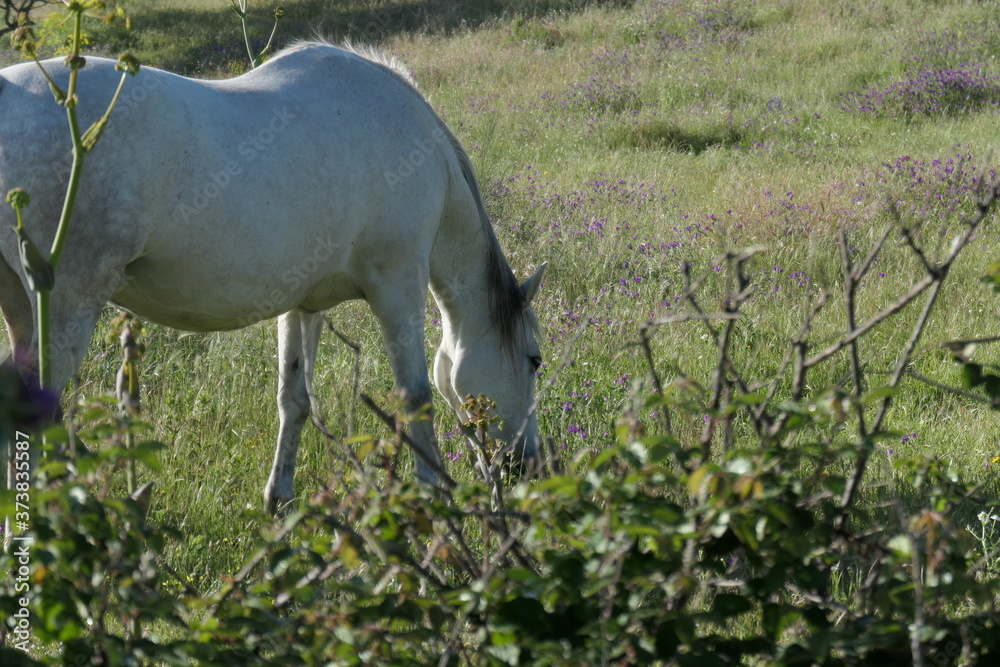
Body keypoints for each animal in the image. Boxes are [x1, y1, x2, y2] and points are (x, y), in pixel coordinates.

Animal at [0, 40, 545, 513]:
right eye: (534, 361)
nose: (530, 465)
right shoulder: (398, 288)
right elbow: (415, 399)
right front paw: (433, 500)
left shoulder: (305, 305)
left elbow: (295, 400)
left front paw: (279, 499)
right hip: (67, 306)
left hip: (23, 310)